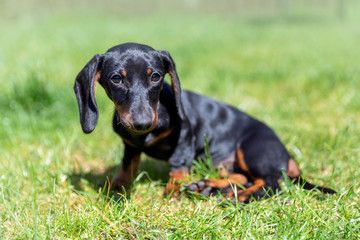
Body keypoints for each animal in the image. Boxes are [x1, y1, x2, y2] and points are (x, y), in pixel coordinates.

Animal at [74, 42, 336, 202]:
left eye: (156, 76)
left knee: (271, 184)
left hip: (253, 150)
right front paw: (116, 186)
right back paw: (208, 186)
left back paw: (236, 196)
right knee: (244, 178)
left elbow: (178, 164)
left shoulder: (185, 133)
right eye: (116, 79)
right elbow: (128, 164)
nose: (142, 123)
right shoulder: (129, 144)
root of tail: (289, 158)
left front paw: (174, 188)